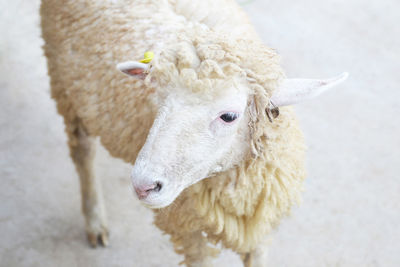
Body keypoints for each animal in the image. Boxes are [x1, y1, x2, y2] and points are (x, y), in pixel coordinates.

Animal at [40, 0, 346, 266]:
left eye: (229, 116)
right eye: (158, 100)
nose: (142, 186)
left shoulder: (260, 225)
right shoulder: (188, 229)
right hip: (66, 86)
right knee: (83, 152)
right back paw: (95, 221)